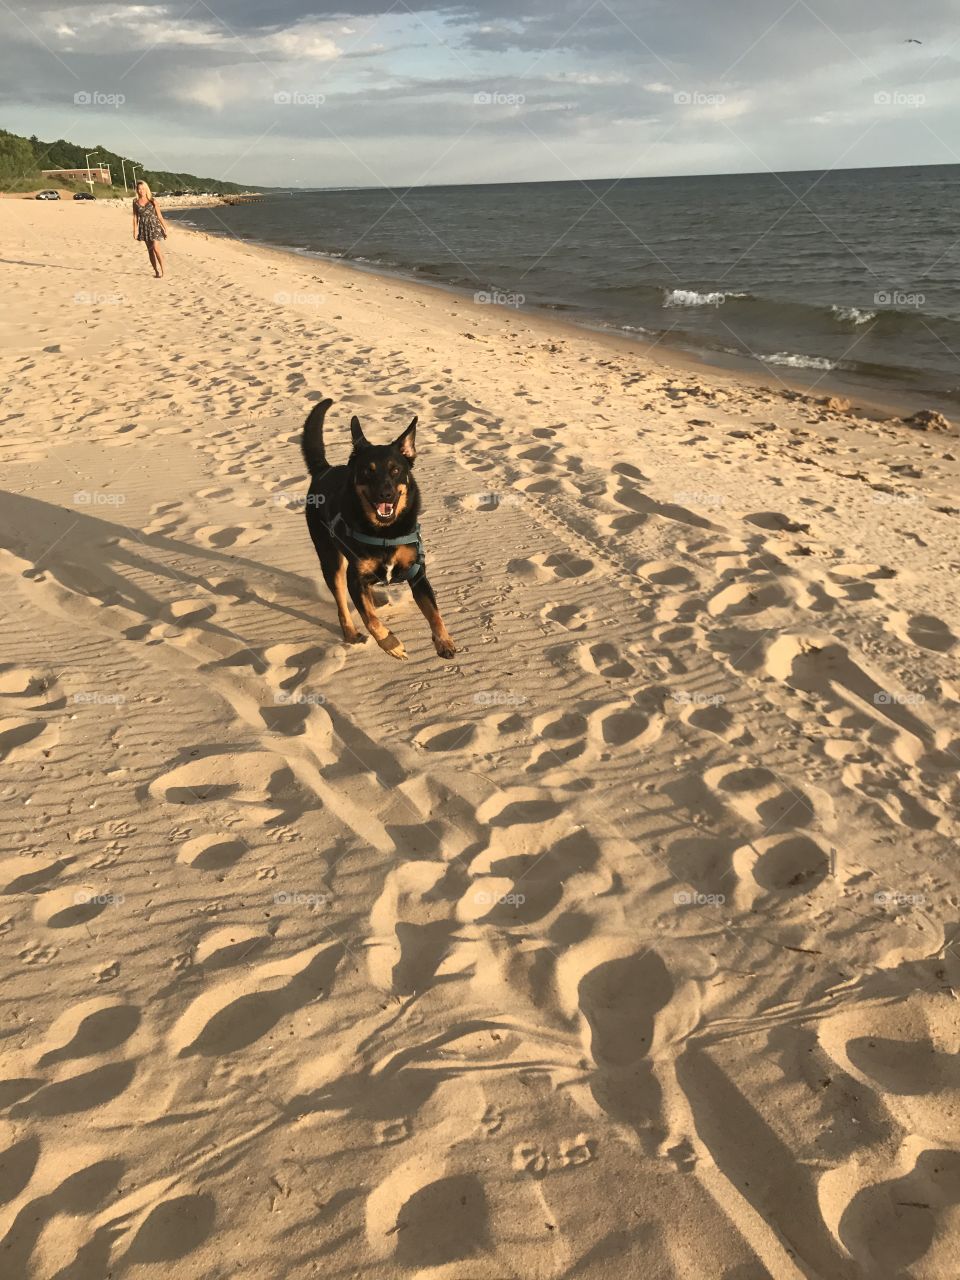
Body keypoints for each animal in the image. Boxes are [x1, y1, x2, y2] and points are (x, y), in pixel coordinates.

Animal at [300, 396, 458, 660]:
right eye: (367, 471)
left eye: (396, 470)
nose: (386, 493)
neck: (385, 532)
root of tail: (323, 469)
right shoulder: (355, 578)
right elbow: (370, 619)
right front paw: (391, 644)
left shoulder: (417, 574)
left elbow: (434, 612)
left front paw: (444, 640)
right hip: (330, 559)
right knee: (342, 603)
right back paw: (351, 633)